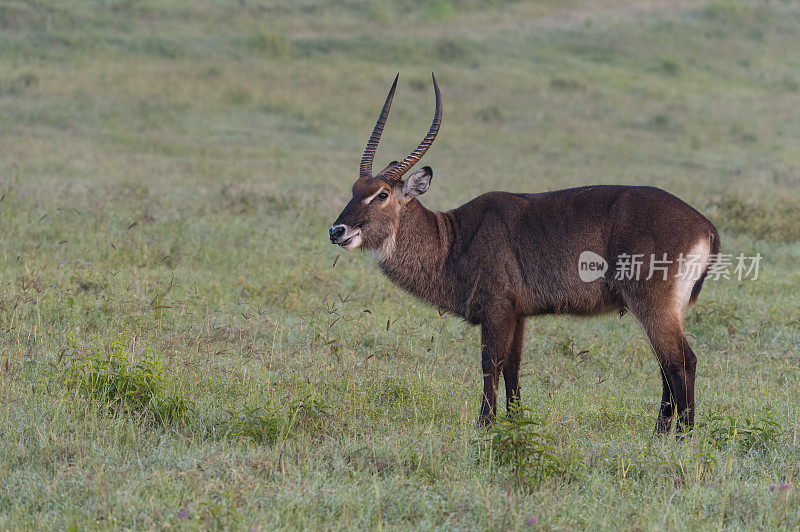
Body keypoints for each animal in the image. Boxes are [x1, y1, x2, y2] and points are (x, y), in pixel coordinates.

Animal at [328, 74, 720, 432]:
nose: (337, 231)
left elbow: (491, 362)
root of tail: (705, 225)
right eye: (354, 189)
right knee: (667, 365)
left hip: (653, 304)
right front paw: (516, 422)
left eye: (381, 194)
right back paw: (661, 431)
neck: (452, 238)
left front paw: (484, 425)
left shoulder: (497, 307)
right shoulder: (518, 313)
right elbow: (513, 367)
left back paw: (682, 434)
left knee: (682, 361)